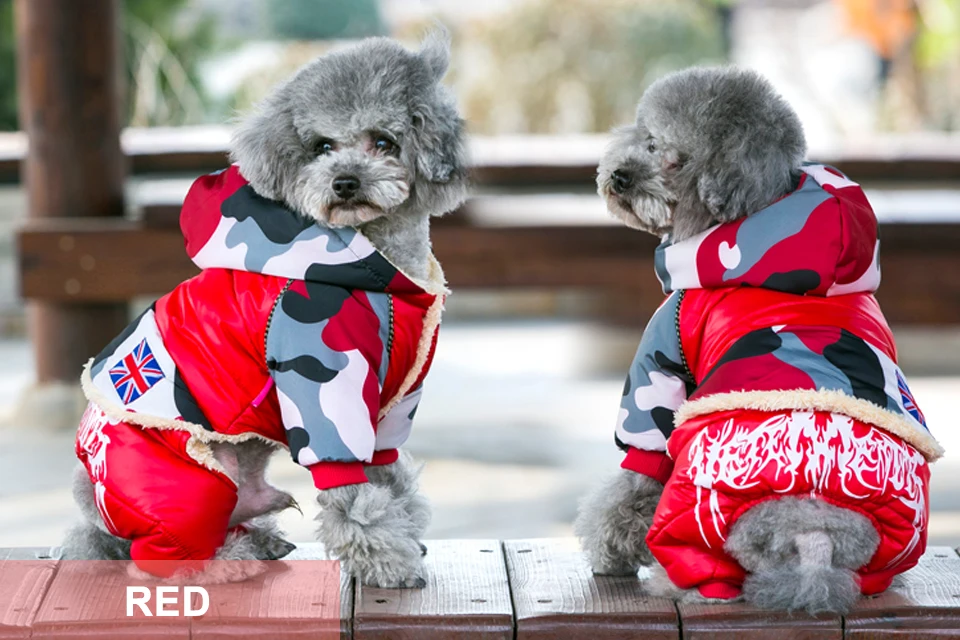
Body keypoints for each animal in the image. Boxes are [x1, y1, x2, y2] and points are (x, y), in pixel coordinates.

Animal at [62, 31, 466, 592]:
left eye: (384, 141)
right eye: (322, 147)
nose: (344, 182)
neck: (379, 266)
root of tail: (94, 515)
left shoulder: (393, 403)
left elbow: (389, 475)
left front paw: (406, 533)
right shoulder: (324, 391)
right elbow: (353, 496)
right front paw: (388, 562)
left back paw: (259, 539)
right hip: (189, 489)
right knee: (156, 561)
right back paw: (236, 559)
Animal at [572, 66, 940, 616]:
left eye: (674, 158)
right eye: (649, 139)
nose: (620, 176)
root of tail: (813, 531)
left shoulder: (659, 362)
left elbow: (635, 471)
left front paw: (607, 549)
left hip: (696, 521)